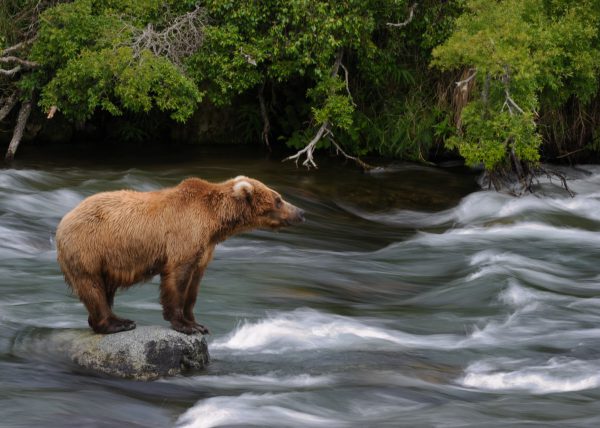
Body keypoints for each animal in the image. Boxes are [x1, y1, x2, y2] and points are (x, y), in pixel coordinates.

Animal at [55, 176, 304, 334]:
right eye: (278, 199)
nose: (301, 212)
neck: (215, 223)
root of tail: (63, 221)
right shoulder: (184, 236)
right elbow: (177, 278)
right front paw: (186, 325)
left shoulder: (204, 249)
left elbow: (194, 286)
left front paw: (197, 322)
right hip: (88, 248)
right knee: (92, 287)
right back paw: (118, 323)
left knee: (104, 289)